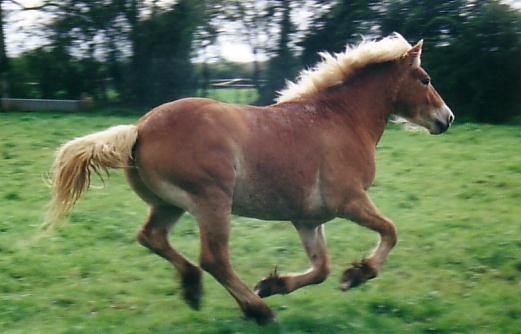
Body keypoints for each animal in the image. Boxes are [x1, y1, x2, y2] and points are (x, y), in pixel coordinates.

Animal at [47, 34, 456, 324]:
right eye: (424, 79)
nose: (447, 118)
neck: (342, 119)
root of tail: (138, 129)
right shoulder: (349, 201)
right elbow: (390, 232)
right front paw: (357, 274)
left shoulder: (308, 219)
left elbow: (321, 269)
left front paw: (274, 284)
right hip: (212, 202)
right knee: (213, 258)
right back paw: (257, 311)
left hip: (169, 205)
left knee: (152, 237)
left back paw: (194, 289)